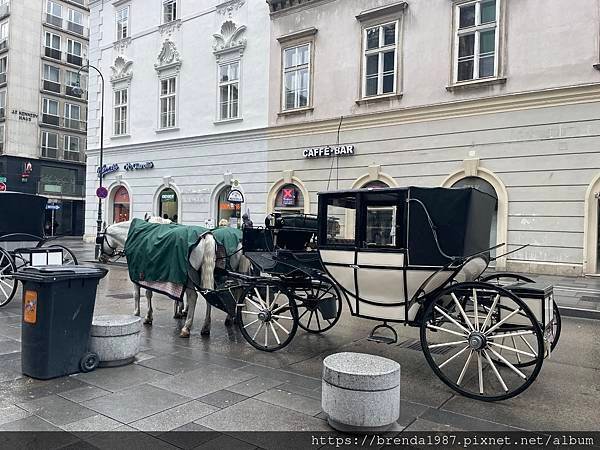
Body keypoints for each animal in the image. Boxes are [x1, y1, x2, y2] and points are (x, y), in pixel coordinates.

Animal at [99, 218, 250, 338]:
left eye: (100, 240)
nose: (101, 258)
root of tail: (207, 236)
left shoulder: (140, 274)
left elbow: (140, 294)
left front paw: (141, 314)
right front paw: (178, 311)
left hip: (191, 275)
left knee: (194, 296)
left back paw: (187, 328)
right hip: (206, 273)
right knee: (210, 296)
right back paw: (207, 326)